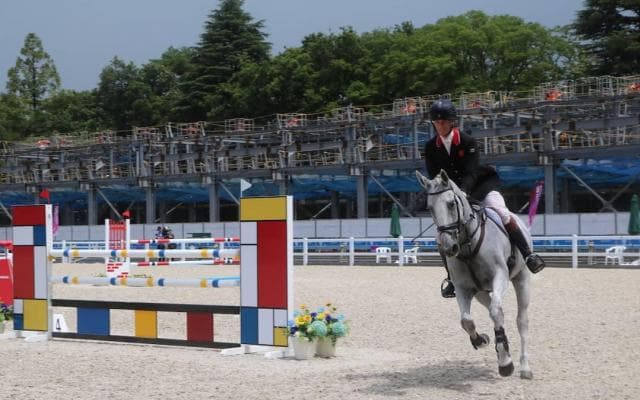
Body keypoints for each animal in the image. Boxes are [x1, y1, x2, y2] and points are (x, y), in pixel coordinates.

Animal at [416, 169, 533, 380]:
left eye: (451, 204)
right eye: (430, 208)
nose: (449, 247)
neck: (468, 244)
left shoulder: (500, 277)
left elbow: (495, 313)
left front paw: (505, 363)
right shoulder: (463, 288)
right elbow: (466, 321)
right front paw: (482, 340)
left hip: (522, 279)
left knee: (521, 320)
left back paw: (525, 367)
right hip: (480, 292)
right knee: (497, 311)